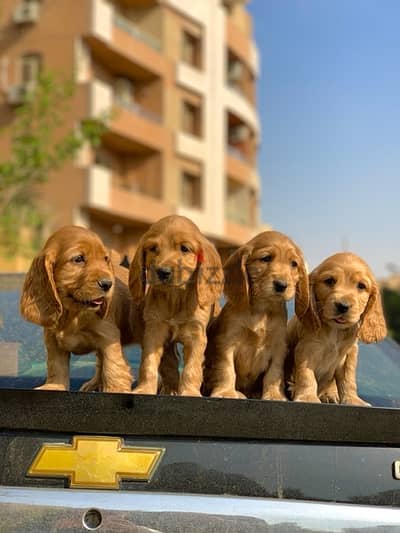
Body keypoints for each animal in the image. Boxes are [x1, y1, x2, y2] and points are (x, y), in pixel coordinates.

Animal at [20, 224, 139, 390]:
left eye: (105, 259)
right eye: (78, 259)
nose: (108, 284)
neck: (73, 312)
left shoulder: (109, 337)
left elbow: (113, 367)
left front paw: (116, 389)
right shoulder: (52, 340)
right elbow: (56, 365)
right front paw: (54, 386)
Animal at [130, 213, 225, 394]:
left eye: (185, 249)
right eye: (153, 248)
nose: (163, 272)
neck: (175, 298)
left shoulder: (196, 334)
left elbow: (192, 368)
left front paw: (189, 392)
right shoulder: (154, 330)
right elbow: (149, 364)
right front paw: (144, 389)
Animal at [203, 230, 310, 400]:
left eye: (294, 264)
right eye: (265, 258)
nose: (281, 285)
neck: (262, 310)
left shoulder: (279, 347)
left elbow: (273, 373)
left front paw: (274, 395)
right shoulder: (226, 342)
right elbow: (227, 369)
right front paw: (226, 392)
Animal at [288, 251, 388, 406]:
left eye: (361, 286)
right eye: (329, 281)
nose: (343, 306)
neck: (335, 331)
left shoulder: (349, 354)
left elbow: (348, 380)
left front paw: (353, 400)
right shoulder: (306, 349)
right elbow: (306, 375)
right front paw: (307, 397)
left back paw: (330, 394)